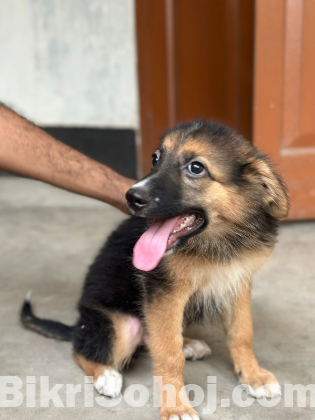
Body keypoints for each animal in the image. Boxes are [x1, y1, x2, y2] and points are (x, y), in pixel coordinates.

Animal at [21, 120, 288, 418]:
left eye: (196, 168)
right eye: (155, 159)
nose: (131, 197)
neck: (217, 243)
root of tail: (79, 323)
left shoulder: (236, 282)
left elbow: (242, 334)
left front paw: (253, 377)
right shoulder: (164, 292)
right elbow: (169, 356)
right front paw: (175, 407)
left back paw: (188, 344)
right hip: (120, 325)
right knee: (82, 349)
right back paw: (107, 376)